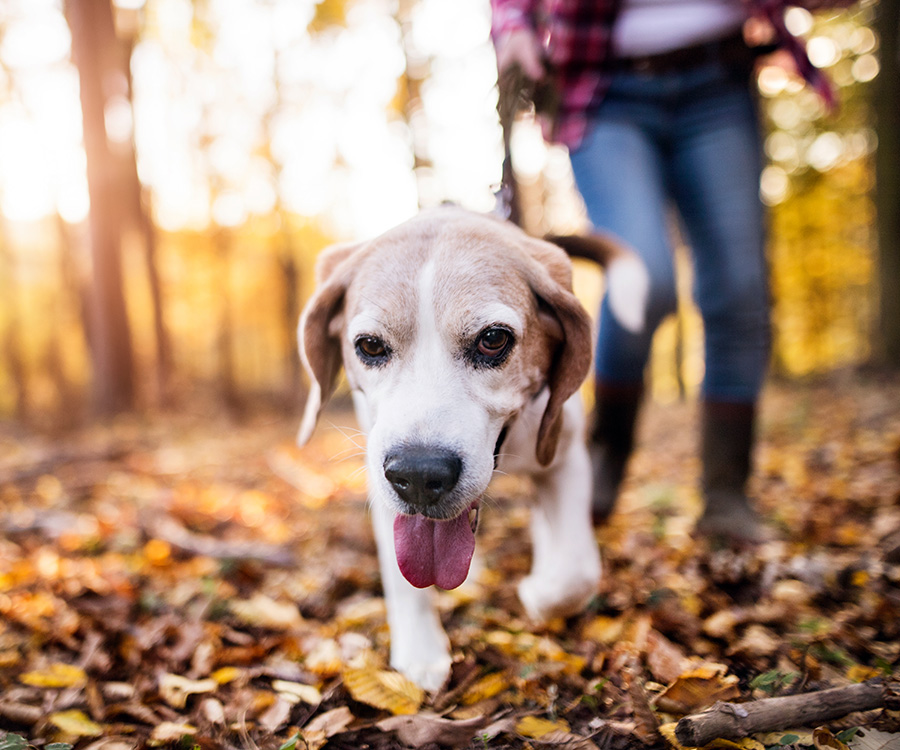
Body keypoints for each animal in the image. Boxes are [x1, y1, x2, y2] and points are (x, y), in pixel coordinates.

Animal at [298, 209, 644, 692]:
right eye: (369, 345)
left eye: (493, 339)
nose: (418, 475)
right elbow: (404, 580)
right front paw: (421, 652)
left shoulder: (564, 457)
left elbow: (576, 572)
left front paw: (538, 593)